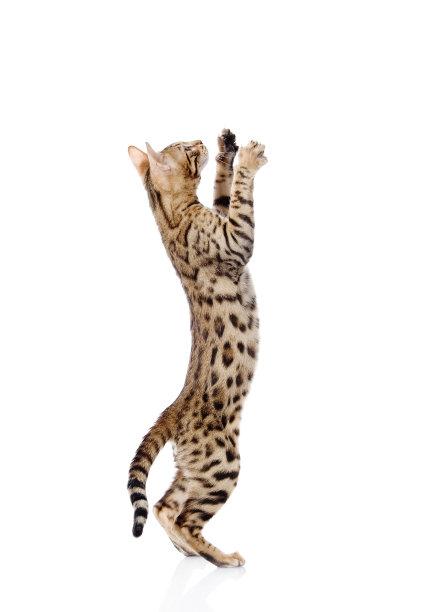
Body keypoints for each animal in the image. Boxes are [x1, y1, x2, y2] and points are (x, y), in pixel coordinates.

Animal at [127, 129, 266, 567]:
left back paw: (189, 551)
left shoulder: (221, 217)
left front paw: (227, 151)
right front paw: (248, 160)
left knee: (163, 506)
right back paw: (222, 557)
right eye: (187, 150)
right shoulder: (235, 236)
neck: (173, 217)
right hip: (221, 463)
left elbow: (224, 191)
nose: (200, 142)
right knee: (183, 516)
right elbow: (241, 198)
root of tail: (174, 410)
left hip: (196, 470)